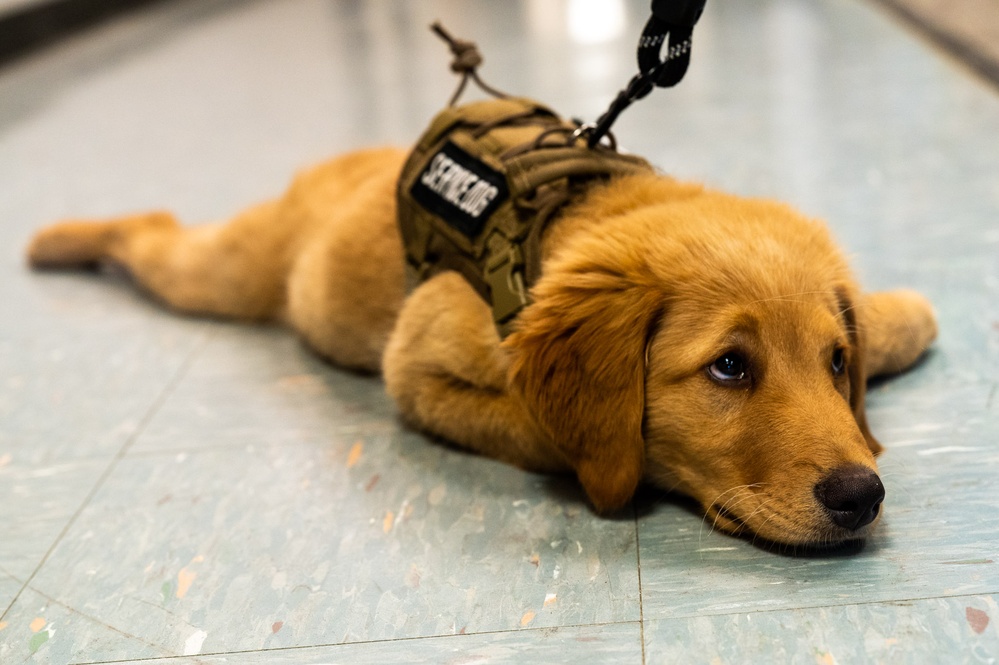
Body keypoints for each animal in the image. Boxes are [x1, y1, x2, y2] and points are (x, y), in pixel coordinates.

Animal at [29, 148, 936, 548]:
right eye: (728, 366)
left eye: (833, 362)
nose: (861, 494)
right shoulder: (415, 366)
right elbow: (547, 430)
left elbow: (886, 327)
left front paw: (900, 313)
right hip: (230, 274)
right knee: (152, 230)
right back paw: (52, 241)